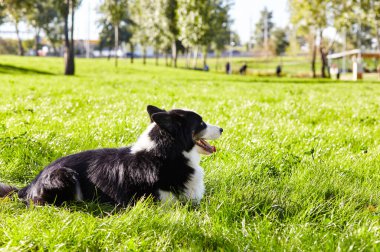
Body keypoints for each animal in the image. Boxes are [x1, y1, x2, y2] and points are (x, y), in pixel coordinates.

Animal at [0, 105, 223, 206]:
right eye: (201, 123)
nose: (221, 129)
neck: (163, 154)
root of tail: (29, 186)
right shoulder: (157, 203)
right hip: (64, 175)